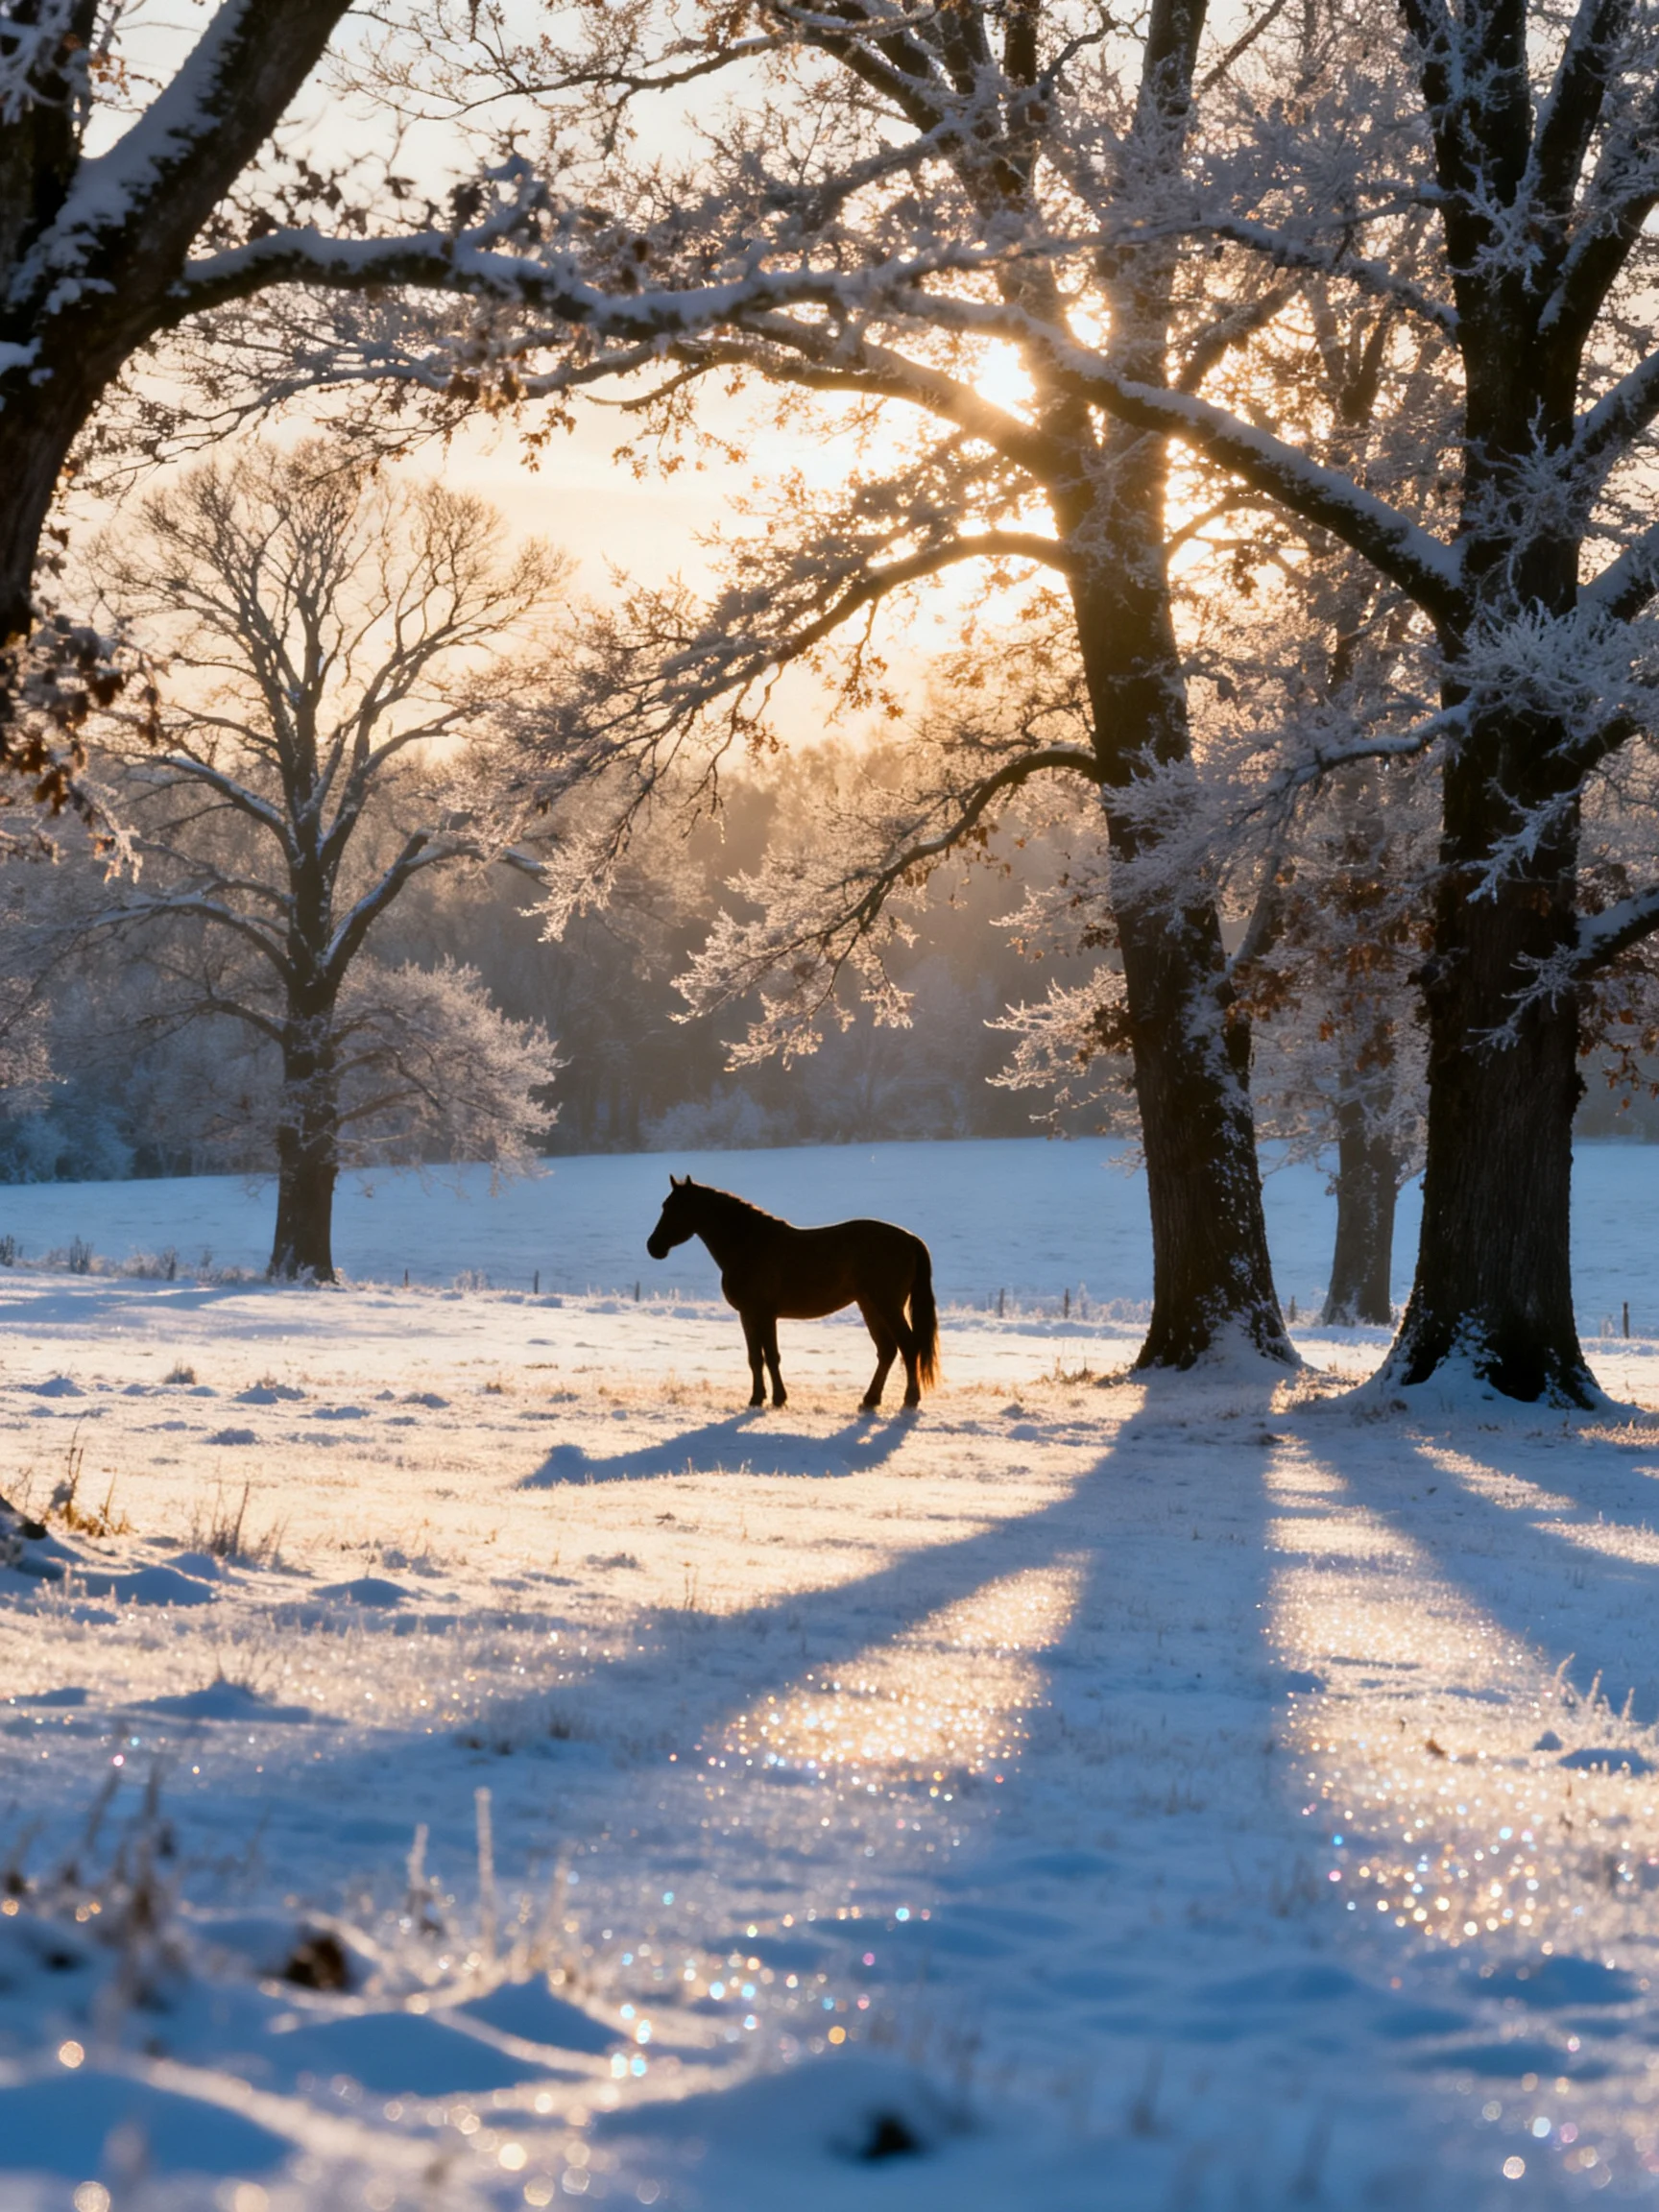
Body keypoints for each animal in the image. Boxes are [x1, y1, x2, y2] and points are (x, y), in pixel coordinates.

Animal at [645, 1175, 939, 1411]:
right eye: (664, 1206)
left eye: (677, 1208)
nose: (653, 1246)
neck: (749, 1245)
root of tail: (910, 1239)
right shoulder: (748, 1315)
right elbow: (756, 1358)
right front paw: (758, 1398)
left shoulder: (764, 1314)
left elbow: (771, 1357)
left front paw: (777, 1398)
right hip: (869, 1305)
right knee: (888, 1350)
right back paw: (870, 1400)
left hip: (886, 1305)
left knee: (908, 1346)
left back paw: (910, 1399)